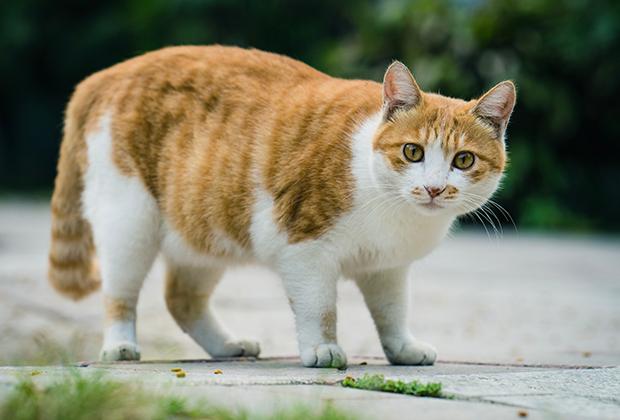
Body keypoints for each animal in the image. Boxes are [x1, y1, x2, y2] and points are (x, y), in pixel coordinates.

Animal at [47, 46, 512, 368]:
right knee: (120, 294)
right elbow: (320, 308)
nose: (434, 188)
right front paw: (323, 349)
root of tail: (107, 74)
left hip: (203, 230)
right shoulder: (305, 249)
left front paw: (402, 348)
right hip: (130, 223)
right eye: (412, 152)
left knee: (182, 299)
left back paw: (227, 346)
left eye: (463, 160)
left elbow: (392, 312)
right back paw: (120, 345)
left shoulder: (387, 267)